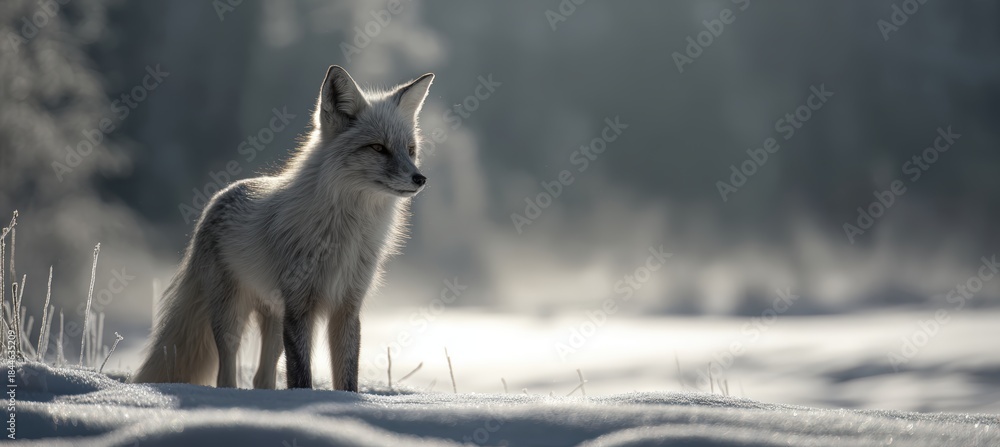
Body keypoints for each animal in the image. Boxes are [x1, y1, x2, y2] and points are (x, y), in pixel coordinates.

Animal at [131, 65, 434, 391]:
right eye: (378, 148)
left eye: (410, 150)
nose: (420, 179)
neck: (346, 232)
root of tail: (221, 195)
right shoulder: (300, 304)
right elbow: (301, 376)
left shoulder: (347, 305)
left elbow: (347, 376)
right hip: (232, 319)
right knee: (226, 374)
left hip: (275, 322)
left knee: (261, 378)